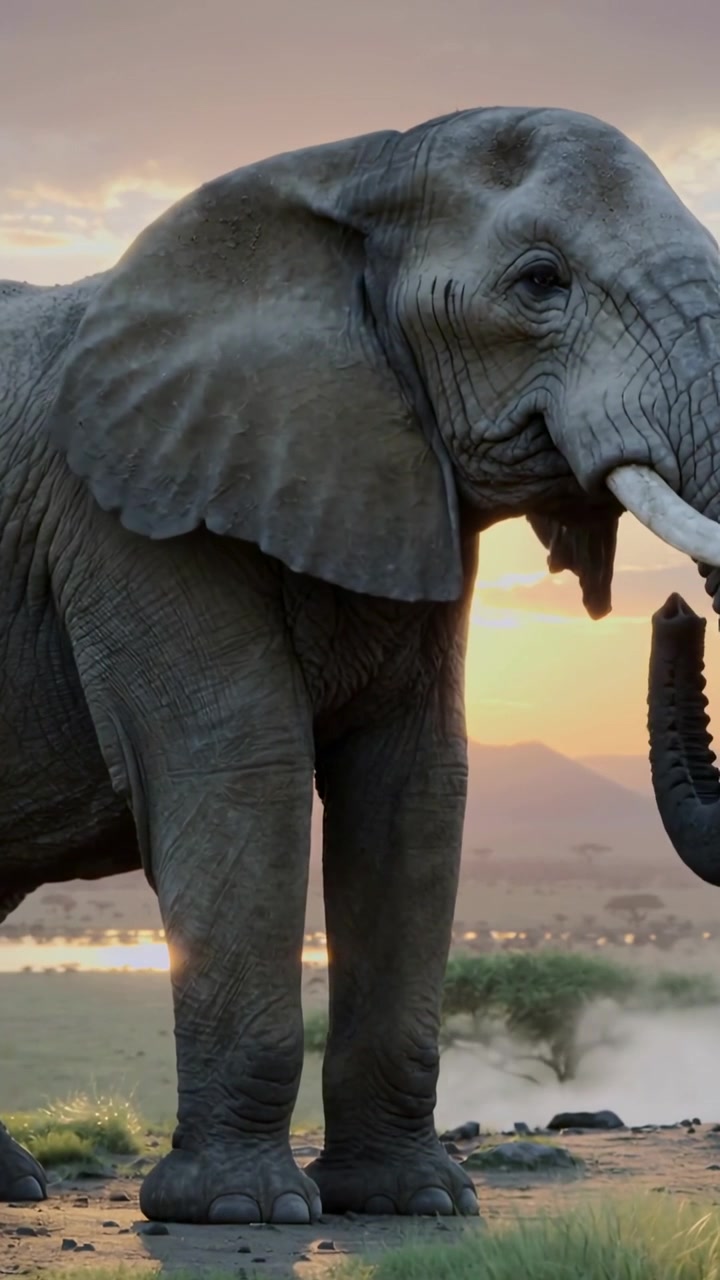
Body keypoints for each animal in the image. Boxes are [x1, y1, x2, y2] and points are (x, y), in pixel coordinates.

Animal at [1, 103, 720, 1225]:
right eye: (540, 281)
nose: (674, 609)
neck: (350, 168)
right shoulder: (127, 513)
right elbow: (243, 769)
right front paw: (241, 1212)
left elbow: (415, 788)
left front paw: (411, 1202)